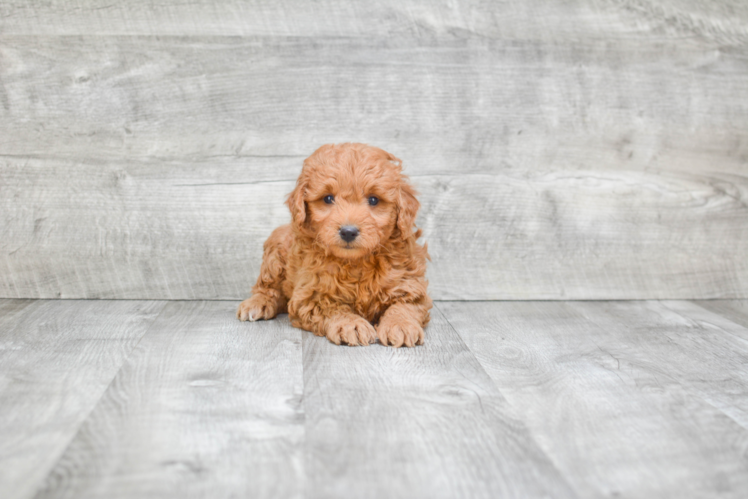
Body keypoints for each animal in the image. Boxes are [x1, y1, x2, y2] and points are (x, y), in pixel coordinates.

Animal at [234, 141, 432, 346]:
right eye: (328, 198)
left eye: (374, 199)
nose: (348, 231)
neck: (356, 262)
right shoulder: (311, 294)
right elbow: (333, 308)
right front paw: (351, 324)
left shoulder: (408, 283)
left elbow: (404, 305)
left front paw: (401, 325)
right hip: (275, 249)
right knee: (268, 287)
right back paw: (257, 303)